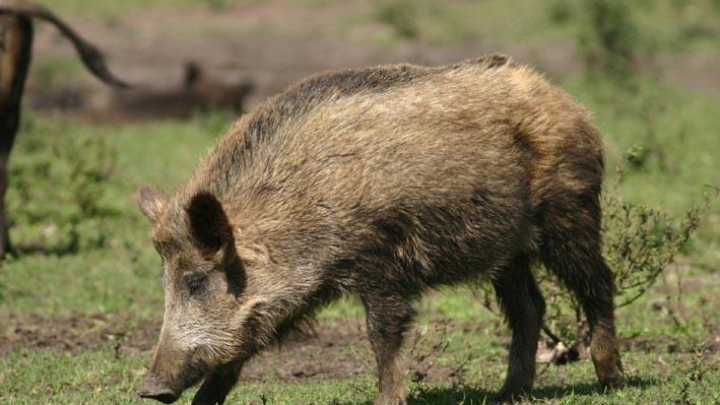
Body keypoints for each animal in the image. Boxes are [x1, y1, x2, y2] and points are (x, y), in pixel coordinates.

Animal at [137, 54, 624, 405]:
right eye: (164, 281)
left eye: (196, 280)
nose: (151, 389)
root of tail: (571, 105)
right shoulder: (293, 294)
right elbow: (246, 344)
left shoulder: (384, 262)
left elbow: (382, 334)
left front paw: (387, 400)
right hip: (506, 248)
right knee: (529, 307)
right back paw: (509, 395)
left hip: (570, 211)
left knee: (598, 282)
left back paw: (610, 381)